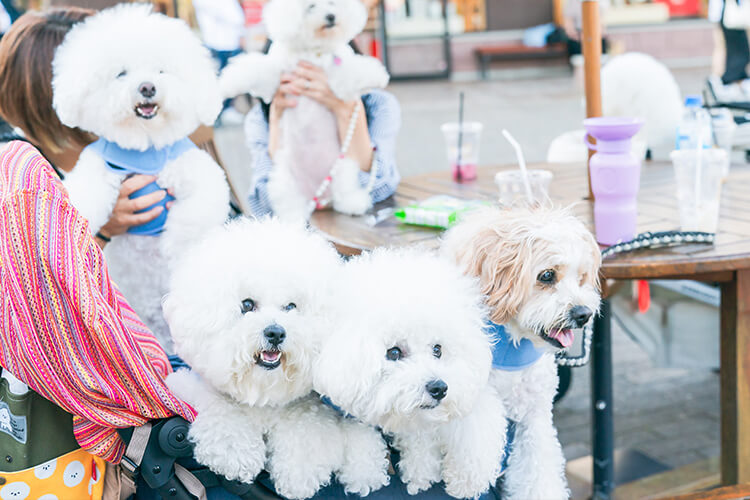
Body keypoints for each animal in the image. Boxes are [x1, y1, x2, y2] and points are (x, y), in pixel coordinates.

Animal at [51, 3, 231, 350]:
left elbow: (193, 215)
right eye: (121, 73)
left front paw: (175, 248)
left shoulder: (200, 175)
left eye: (162, 71)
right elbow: (84, 195)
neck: (145, 145)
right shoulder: (99, 167)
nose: (147, 87)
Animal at [163, 220, 388, 500]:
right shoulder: (189, 387)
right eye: (247, 304)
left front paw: (299, 473)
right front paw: (235, 452)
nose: (276, 332)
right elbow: (220, 409)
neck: (263, 394)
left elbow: (305, 430)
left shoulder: (307, 407)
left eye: (291, 307)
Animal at [220, 0, 390, 221]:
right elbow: (253, 68)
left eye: (333, 4)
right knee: (291, 206)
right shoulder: (275, 76)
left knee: (344, 192)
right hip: (284, 181)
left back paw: (353, 203)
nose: (331, 16)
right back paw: (293, 219)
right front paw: (226, 83)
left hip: (343, 167)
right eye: (311, 6)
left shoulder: (336, 73)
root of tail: (318, 195)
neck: (312, 51)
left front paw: (377, 75)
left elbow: (353, 69)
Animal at [444, 206, 604, 500]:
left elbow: (538, 473)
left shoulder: (535, 418)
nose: (583, 314)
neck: (512, 349)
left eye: (581, 278)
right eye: (547, 275)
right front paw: (466, 480)